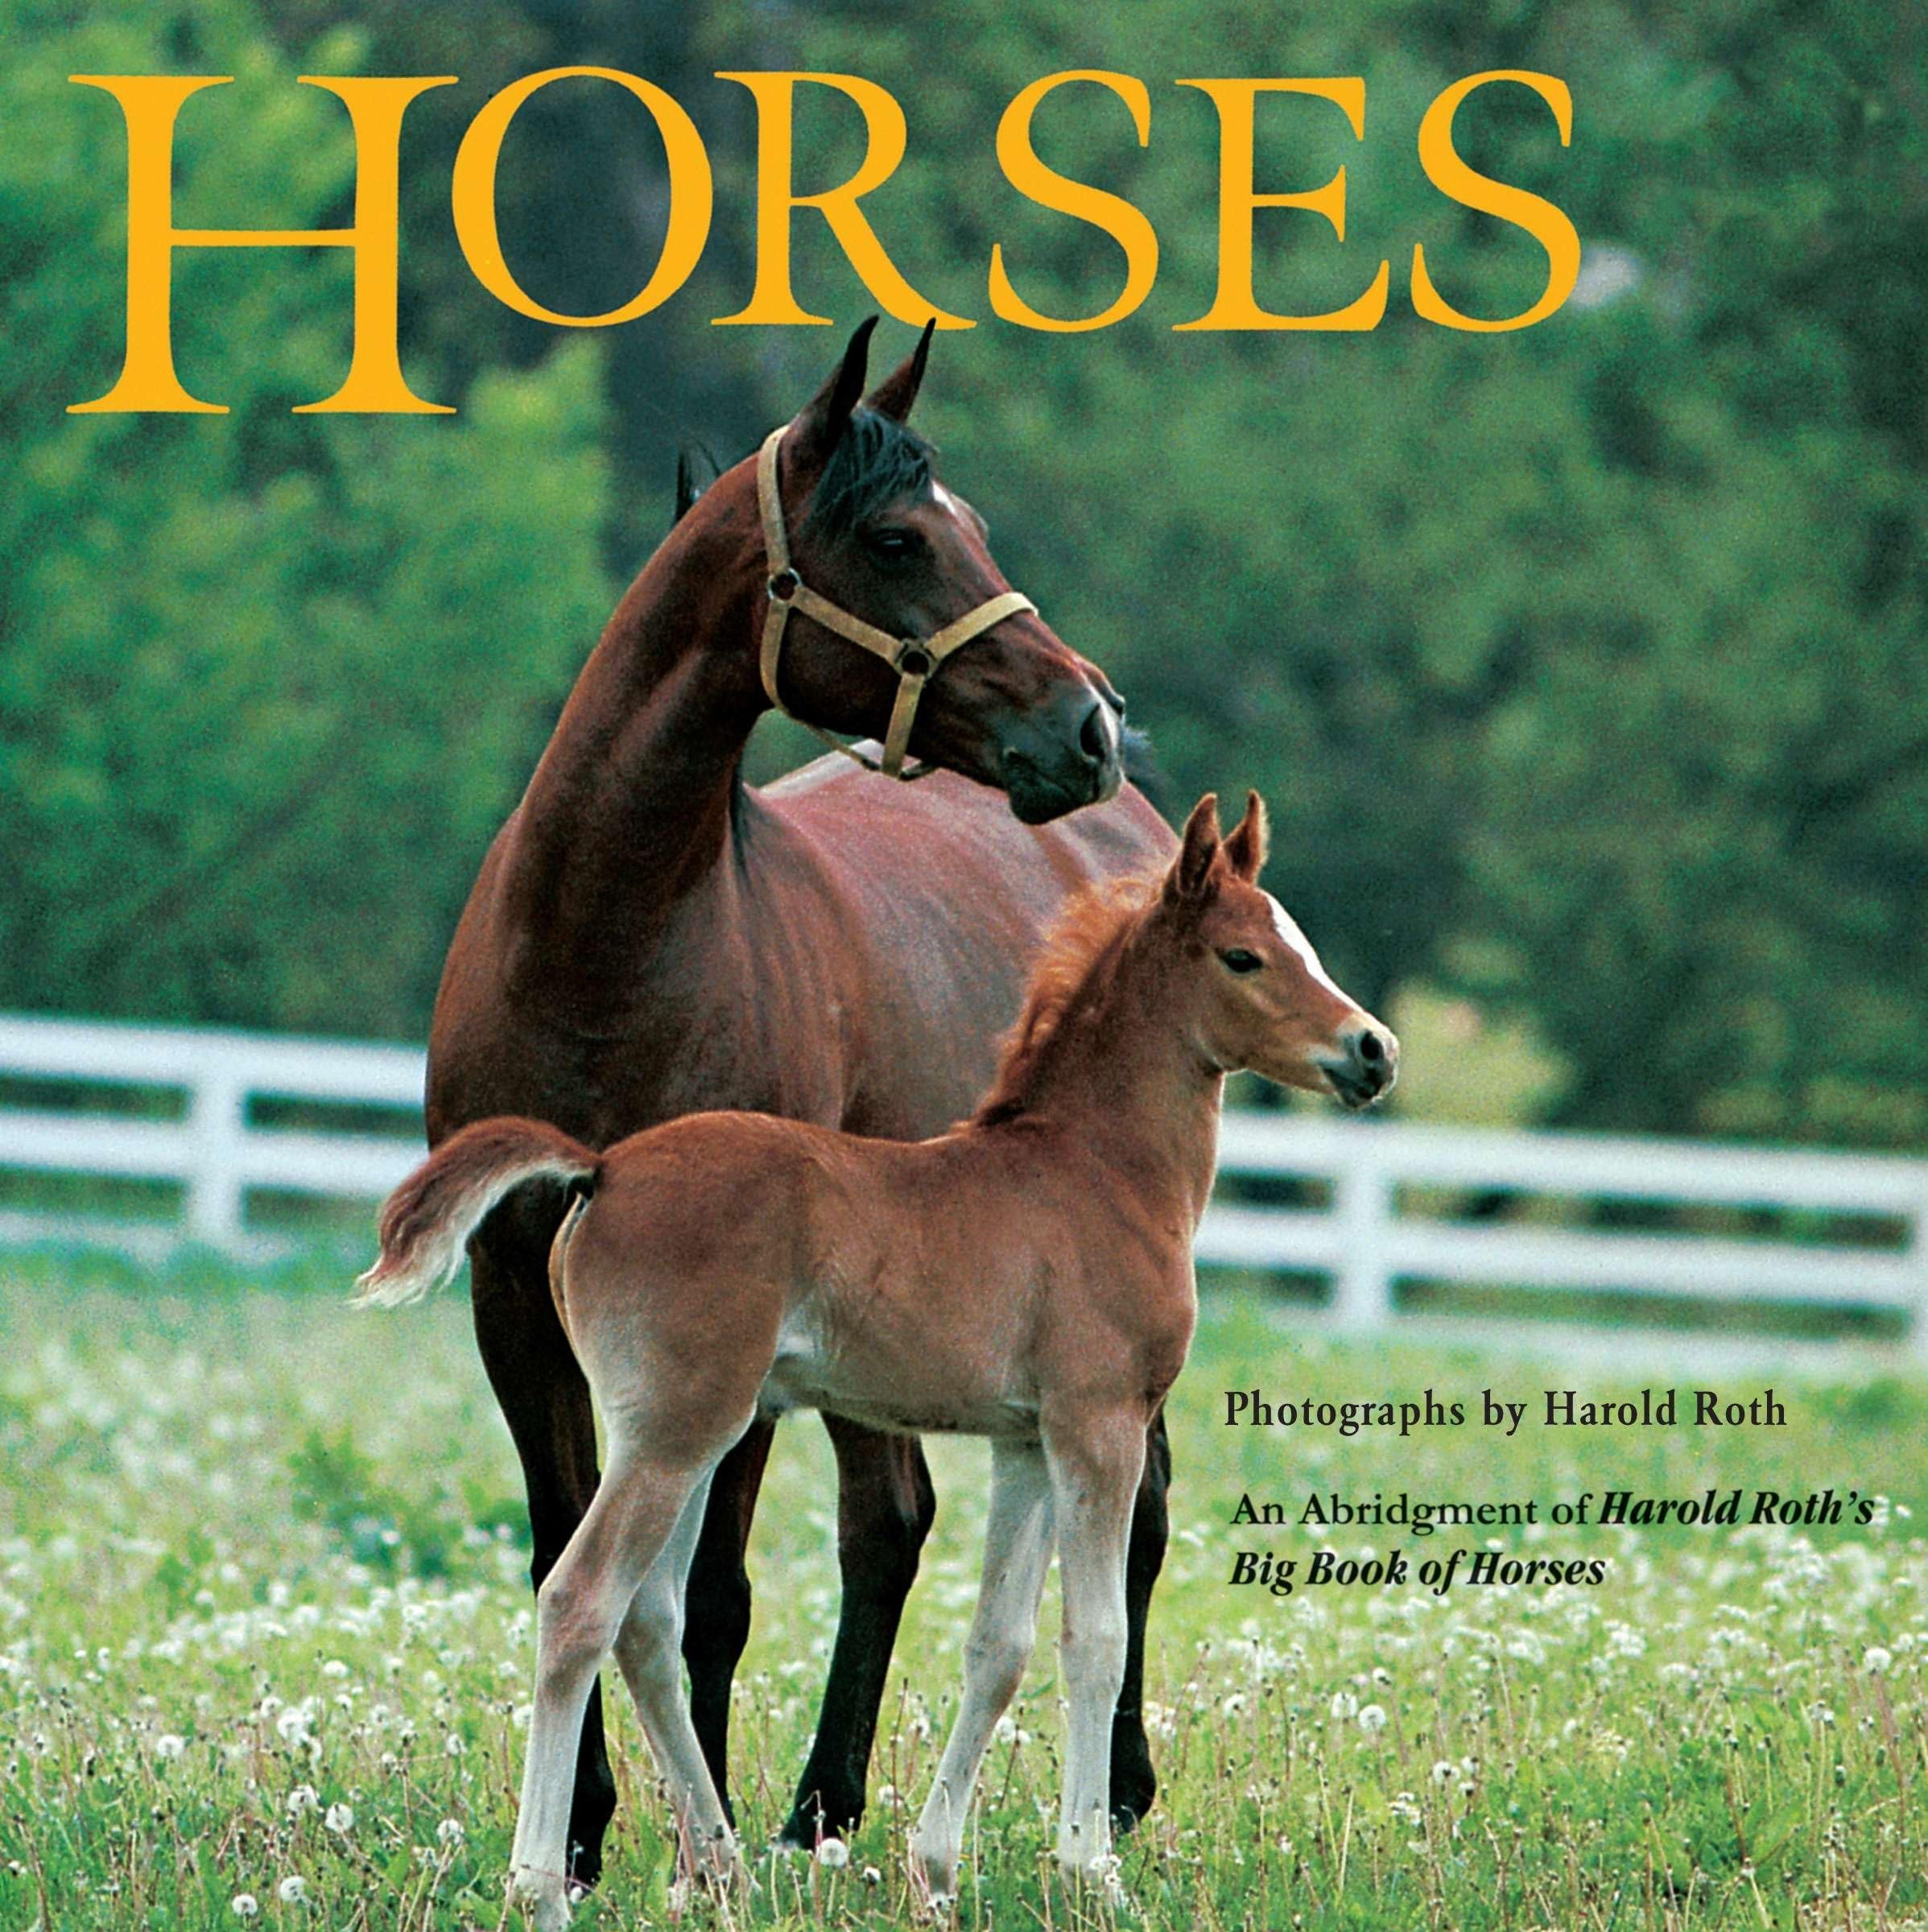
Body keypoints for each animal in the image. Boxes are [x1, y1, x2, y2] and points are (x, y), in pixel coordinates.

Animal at [359, 791, 1398, 1921]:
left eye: (1299, 942)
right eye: (1244, 956)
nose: (1373, 1051)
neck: (1092, 1168)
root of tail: (601, 1167)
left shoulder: (1025, 1442)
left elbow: (998, 1647)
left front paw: (935, 1872)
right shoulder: (1099, 1423)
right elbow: (1094, 1640)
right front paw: (1092, 1874)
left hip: (683, 1434)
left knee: (650, 1624)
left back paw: (719, 1869)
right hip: (678, 1431)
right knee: (580, 1603)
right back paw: (545, 1888)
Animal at [426, 316, 1178, 1876]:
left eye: (973, 522)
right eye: (897, 537)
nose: (1089, 725)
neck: (603, 951)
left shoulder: (735, 1344)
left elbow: (709, 1596)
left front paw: (684, 1832)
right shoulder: (512, 1298)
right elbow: (564, 1550)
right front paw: (585, 1834)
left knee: (1123, 1512)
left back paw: (1116, 1791)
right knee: (889, 1519)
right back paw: (823, 1805)